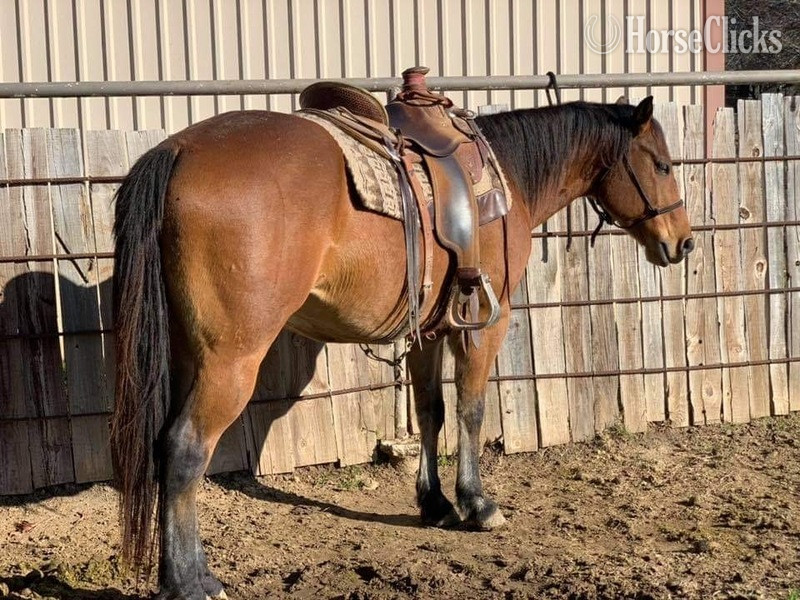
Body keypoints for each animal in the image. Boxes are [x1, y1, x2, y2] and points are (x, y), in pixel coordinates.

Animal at [110, 94, 693, 599]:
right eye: (662, 165)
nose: (683, 242)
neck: (508, 178)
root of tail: (177, 151)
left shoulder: (428, 331)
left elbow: (432, 411)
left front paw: (434, 501)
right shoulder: (485, 324)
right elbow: (471, 410)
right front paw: (477, 503)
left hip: (189, 355)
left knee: (164, 446)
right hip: (230, 362)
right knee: (185, 449)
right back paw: (190, 583)